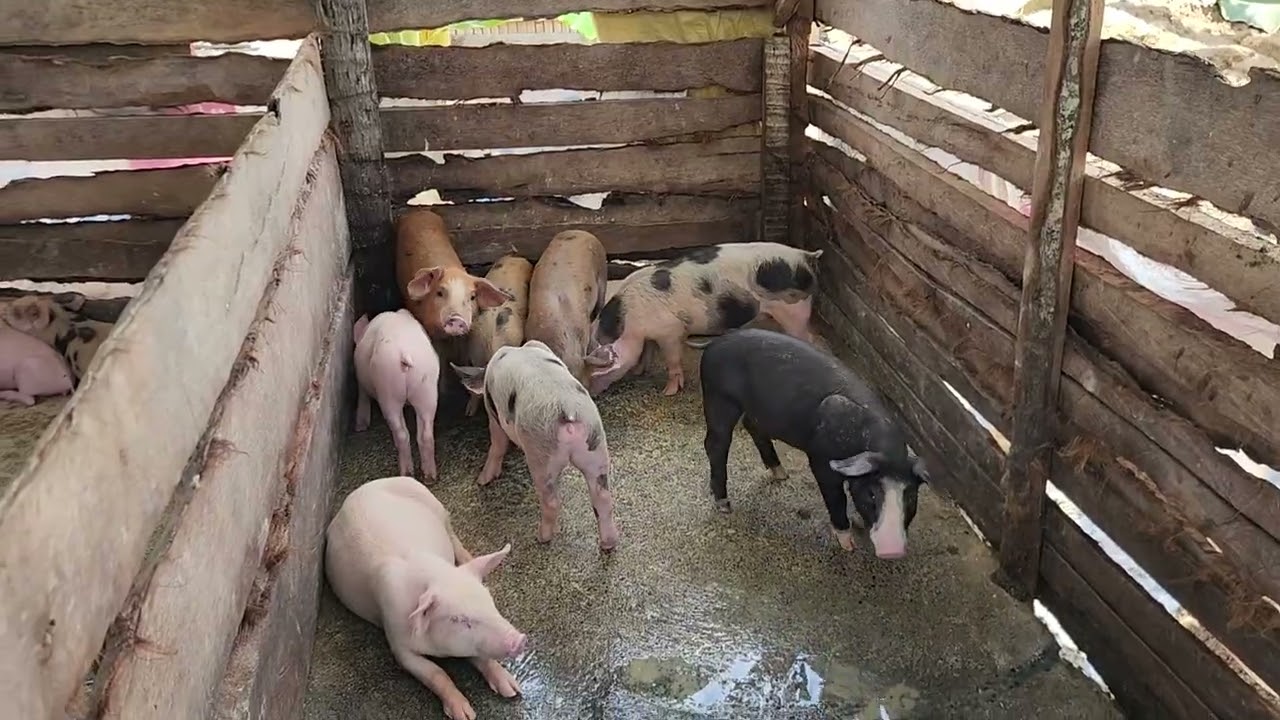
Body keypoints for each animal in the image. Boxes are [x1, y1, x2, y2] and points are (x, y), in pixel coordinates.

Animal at [325, 476, 526, 720]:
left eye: (490, 602)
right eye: (459, 619)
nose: (519, 639)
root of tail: (361, 489)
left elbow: (481, 658)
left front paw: (513, 690)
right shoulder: (399, 645)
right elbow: (436, 674)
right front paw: (465, 714)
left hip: (434, 502)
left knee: (452, 533)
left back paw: (470, 558)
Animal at [354, 310, 442, 483]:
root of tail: (404, 353)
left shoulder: (361, 382)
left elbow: (363, 397)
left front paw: (360, 427)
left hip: (387, 388)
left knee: (401, 433)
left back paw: (406, 473)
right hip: (427, 386)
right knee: (426, 434)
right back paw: (429, 477)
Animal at [451, 340, 619, 551]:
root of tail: (567, 410)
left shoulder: (493, 413)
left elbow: (497, 444)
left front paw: (482, 481)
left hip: (540, 452)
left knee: (552, 501)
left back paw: (541, 537)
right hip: (595, 444)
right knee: (603, 498)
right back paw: (608, 544)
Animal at [584, 242, 824, 396]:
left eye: (596, 372)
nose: (592, 394)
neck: (629, 321)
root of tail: (807, 256)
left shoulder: (671, 331)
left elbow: (672, 360)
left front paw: (668, 392)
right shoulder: (650, 335)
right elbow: (647, 352)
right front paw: (639, 371)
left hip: (795, 311)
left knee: (809, 337)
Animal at [698, 328, 928, 559]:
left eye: (910, 497)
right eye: (872, 493)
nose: (893, 551)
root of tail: (716, 342)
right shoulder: (820, 460)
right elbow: (836, 498)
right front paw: (848, 546)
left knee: (750, 425)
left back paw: (781, 474)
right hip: (719, 398)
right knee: (715, 443)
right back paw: (724, 505)